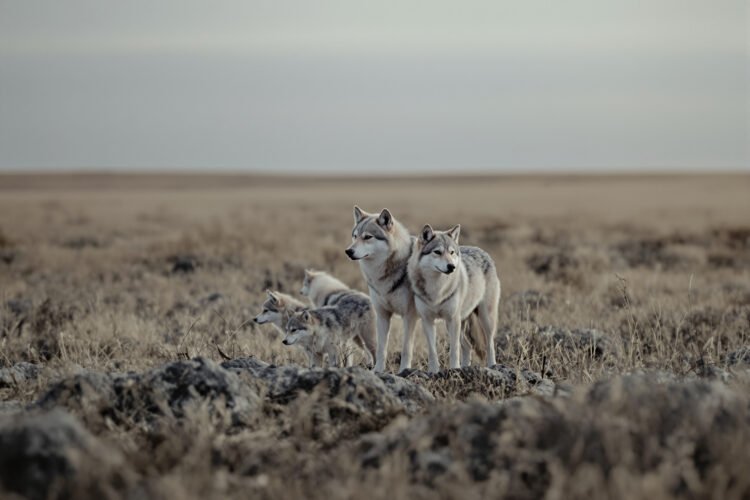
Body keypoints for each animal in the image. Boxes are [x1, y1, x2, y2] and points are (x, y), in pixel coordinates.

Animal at [345, 206, 419, 373]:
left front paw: (403, 372)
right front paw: (378, 371)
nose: (348, 251)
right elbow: (380, 349)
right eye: (354, 236)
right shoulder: (382, 315)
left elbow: (406, 349)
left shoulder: (409, 316)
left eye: (367, 237)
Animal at [407, 224, 500, 371]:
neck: (437, 289)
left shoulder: (452, 319)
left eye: (451, 252)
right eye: (437, 252)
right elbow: (432, 351)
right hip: (457, 323)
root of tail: (481, 250)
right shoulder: (427, 320)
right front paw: (433, 371)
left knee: (489, 345)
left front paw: (454, 369)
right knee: (468, 346)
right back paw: (465, 367)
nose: (452, 266)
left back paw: (492, 366)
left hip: (484, 318)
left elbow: (454, 350)